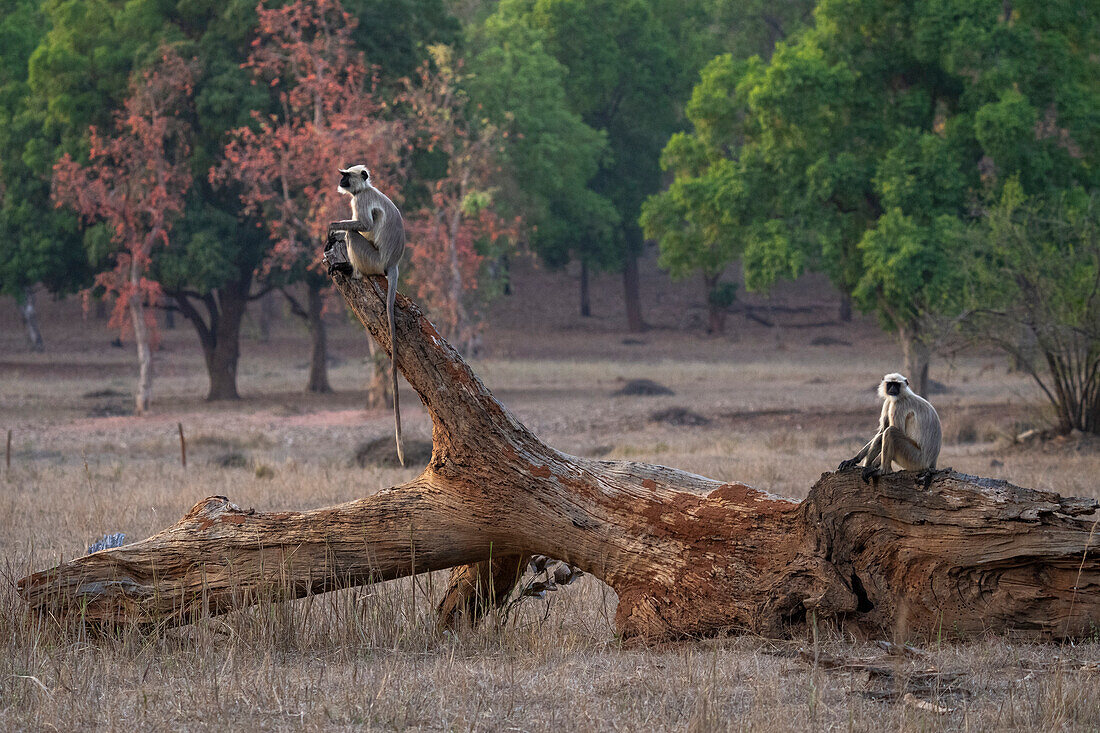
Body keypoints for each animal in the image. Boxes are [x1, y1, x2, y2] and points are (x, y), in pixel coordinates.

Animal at [330, 162, 409, 464]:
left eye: (346, 175)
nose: (340, 181)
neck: (365, 188)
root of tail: (392, 263)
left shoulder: (359, 200)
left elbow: (362, 226)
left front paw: (334, 226)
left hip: (373, 261)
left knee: (355, 236)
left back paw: (351, 271)